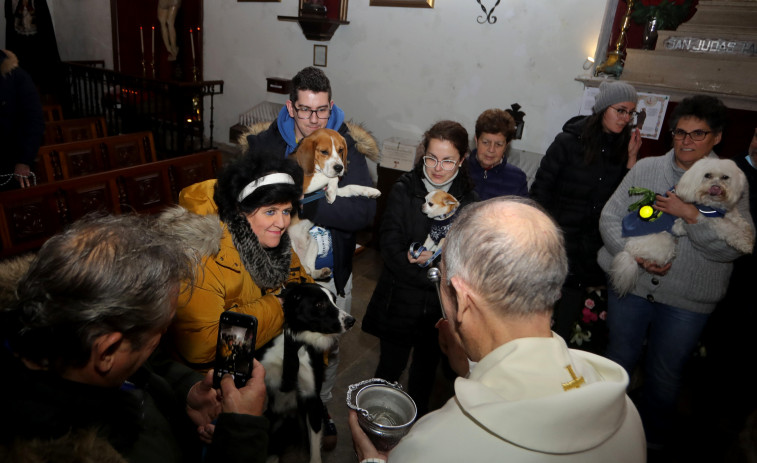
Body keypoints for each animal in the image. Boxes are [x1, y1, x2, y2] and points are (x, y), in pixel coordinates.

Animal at [612, 159, 752, 298]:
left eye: (725, 177)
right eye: (707, 175)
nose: (716, 187)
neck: (710, 203)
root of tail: (629, 251)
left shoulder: (719, 211)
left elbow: (735, 217)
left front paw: (746, 229)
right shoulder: (707, 217)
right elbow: (729, 228)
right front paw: (745, 243)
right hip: (664, 241)